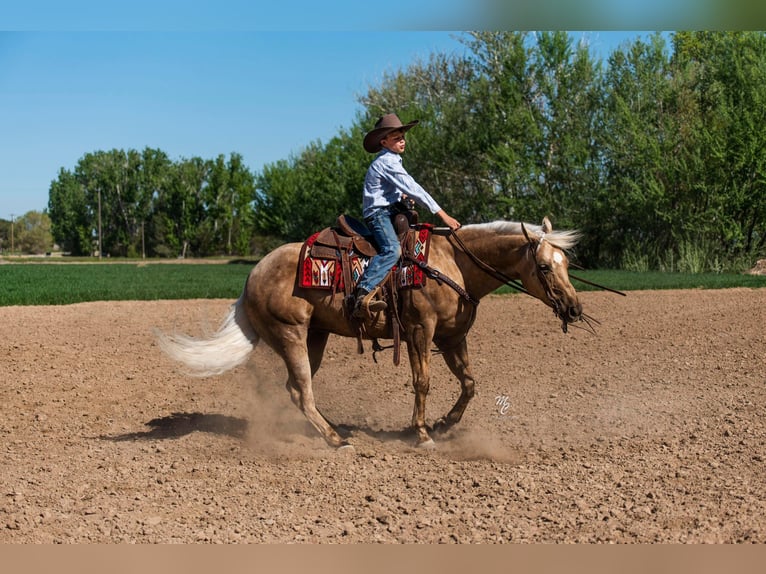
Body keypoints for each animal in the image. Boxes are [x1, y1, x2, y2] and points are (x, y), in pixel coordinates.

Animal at [159, 216, 584, 450]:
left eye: (566, 263)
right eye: (544, 266)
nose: (574, 308)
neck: (453, 264)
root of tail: (252, 276)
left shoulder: (451, 337)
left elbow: (469, 383)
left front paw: (445, 424)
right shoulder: (420, 331)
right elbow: (422, 382)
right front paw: (423, 433)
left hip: (315, 337)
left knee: (297, 389)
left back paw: (333, 430)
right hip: (291, 335)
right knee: (302, 390)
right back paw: (335, 440)